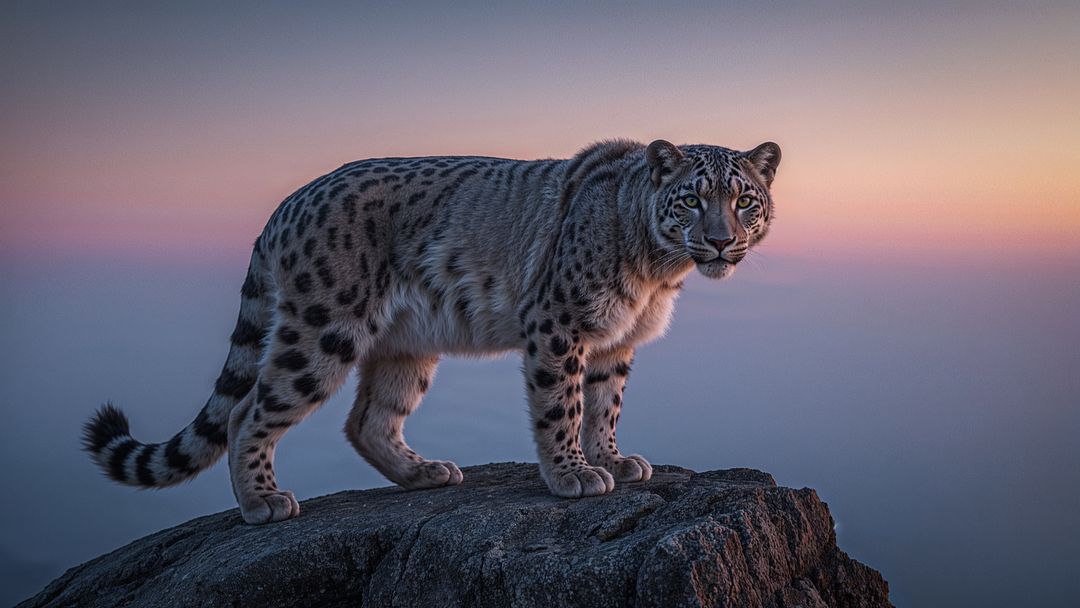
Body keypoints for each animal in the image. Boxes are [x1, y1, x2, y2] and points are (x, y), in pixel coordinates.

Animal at [83, 138, 781, 524]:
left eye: (744, 200)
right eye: (692, 199)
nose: (721, 240)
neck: (657, 273)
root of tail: (289, 203)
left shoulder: (615, 340)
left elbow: (605, 403)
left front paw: (612, 458)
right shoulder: (557, 324)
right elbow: (563, 404)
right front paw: (573, 476)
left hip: (407, 345)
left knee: (368, 419)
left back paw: (426, 474)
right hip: (321, 331)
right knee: (247, 410)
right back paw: (263, 503)